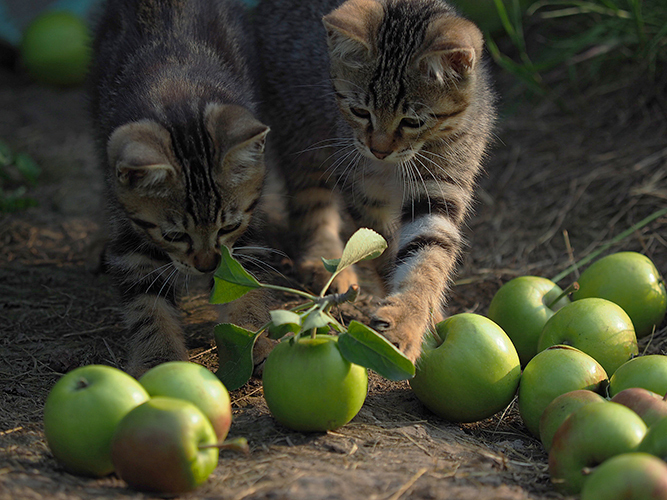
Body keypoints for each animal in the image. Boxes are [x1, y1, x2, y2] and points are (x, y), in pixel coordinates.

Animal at [90, 0, 270, 376]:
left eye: (228, 227)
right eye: (174, 235)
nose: (206, 265)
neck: (178, 88)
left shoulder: (247, 229)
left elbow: (243, 282)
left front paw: (252, 339)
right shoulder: (132, 242)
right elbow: (148, 308)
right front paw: (159, 359)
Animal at [256, 0, 496, 362]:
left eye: (412, 121)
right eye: (359, 111)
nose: (378, 149)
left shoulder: (441, 186)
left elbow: (428, 254)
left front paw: (412, 316)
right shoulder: (361, 187)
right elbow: (383, 249)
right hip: (301, 132)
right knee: (310, 199)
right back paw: (324, 260)